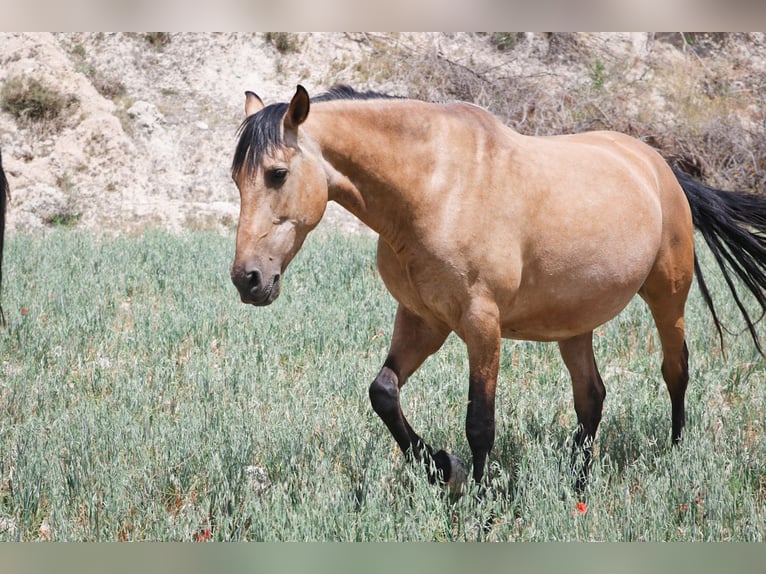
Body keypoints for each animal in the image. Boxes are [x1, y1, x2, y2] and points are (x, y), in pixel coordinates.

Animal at [228, 85, 766, 496]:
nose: (248, 278)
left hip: (667, 296)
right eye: (236, 178)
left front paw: (478, 498)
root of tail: (659, 166)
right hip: (574, 323)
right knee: (591, 397)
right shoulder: (422, 319)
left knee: (675, 371)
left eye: (277, 173)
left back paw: (674, 455)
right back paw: (577, 483)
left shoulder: (480, 324)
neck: (433, 188)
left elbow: (480, 422)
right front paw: (440, 467)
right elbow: (383, 392)